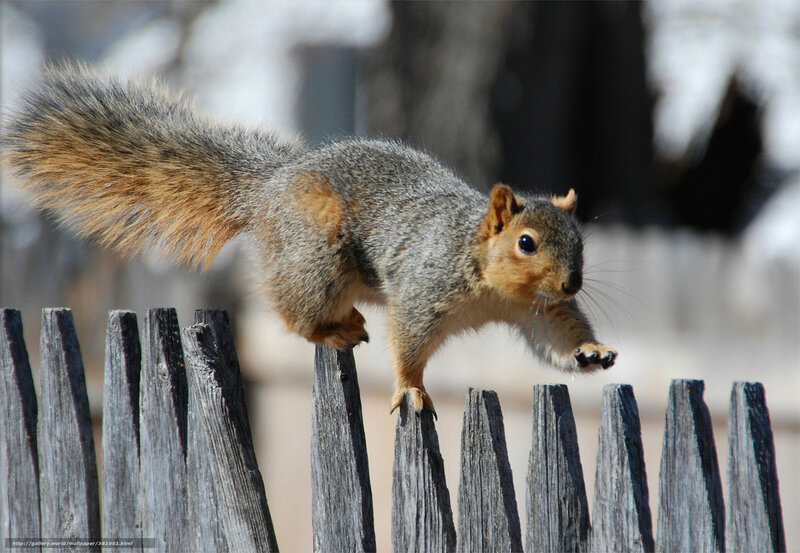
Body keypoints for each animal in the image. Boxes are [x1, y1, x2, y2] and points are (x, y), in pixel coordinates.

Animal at [1, 63, 617, 413]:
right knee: (292, 313)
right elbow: (409, 344)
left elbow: (555, 335)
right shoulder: (424, 288)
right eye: (526, 243)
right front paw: (411, 390)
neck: (490, 282)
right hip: (316, 256)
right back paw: (332, 328)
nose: (572, 281)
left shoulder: (536, 310)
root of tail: (269, 187)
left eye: (580, 240)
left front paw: (590, 351)